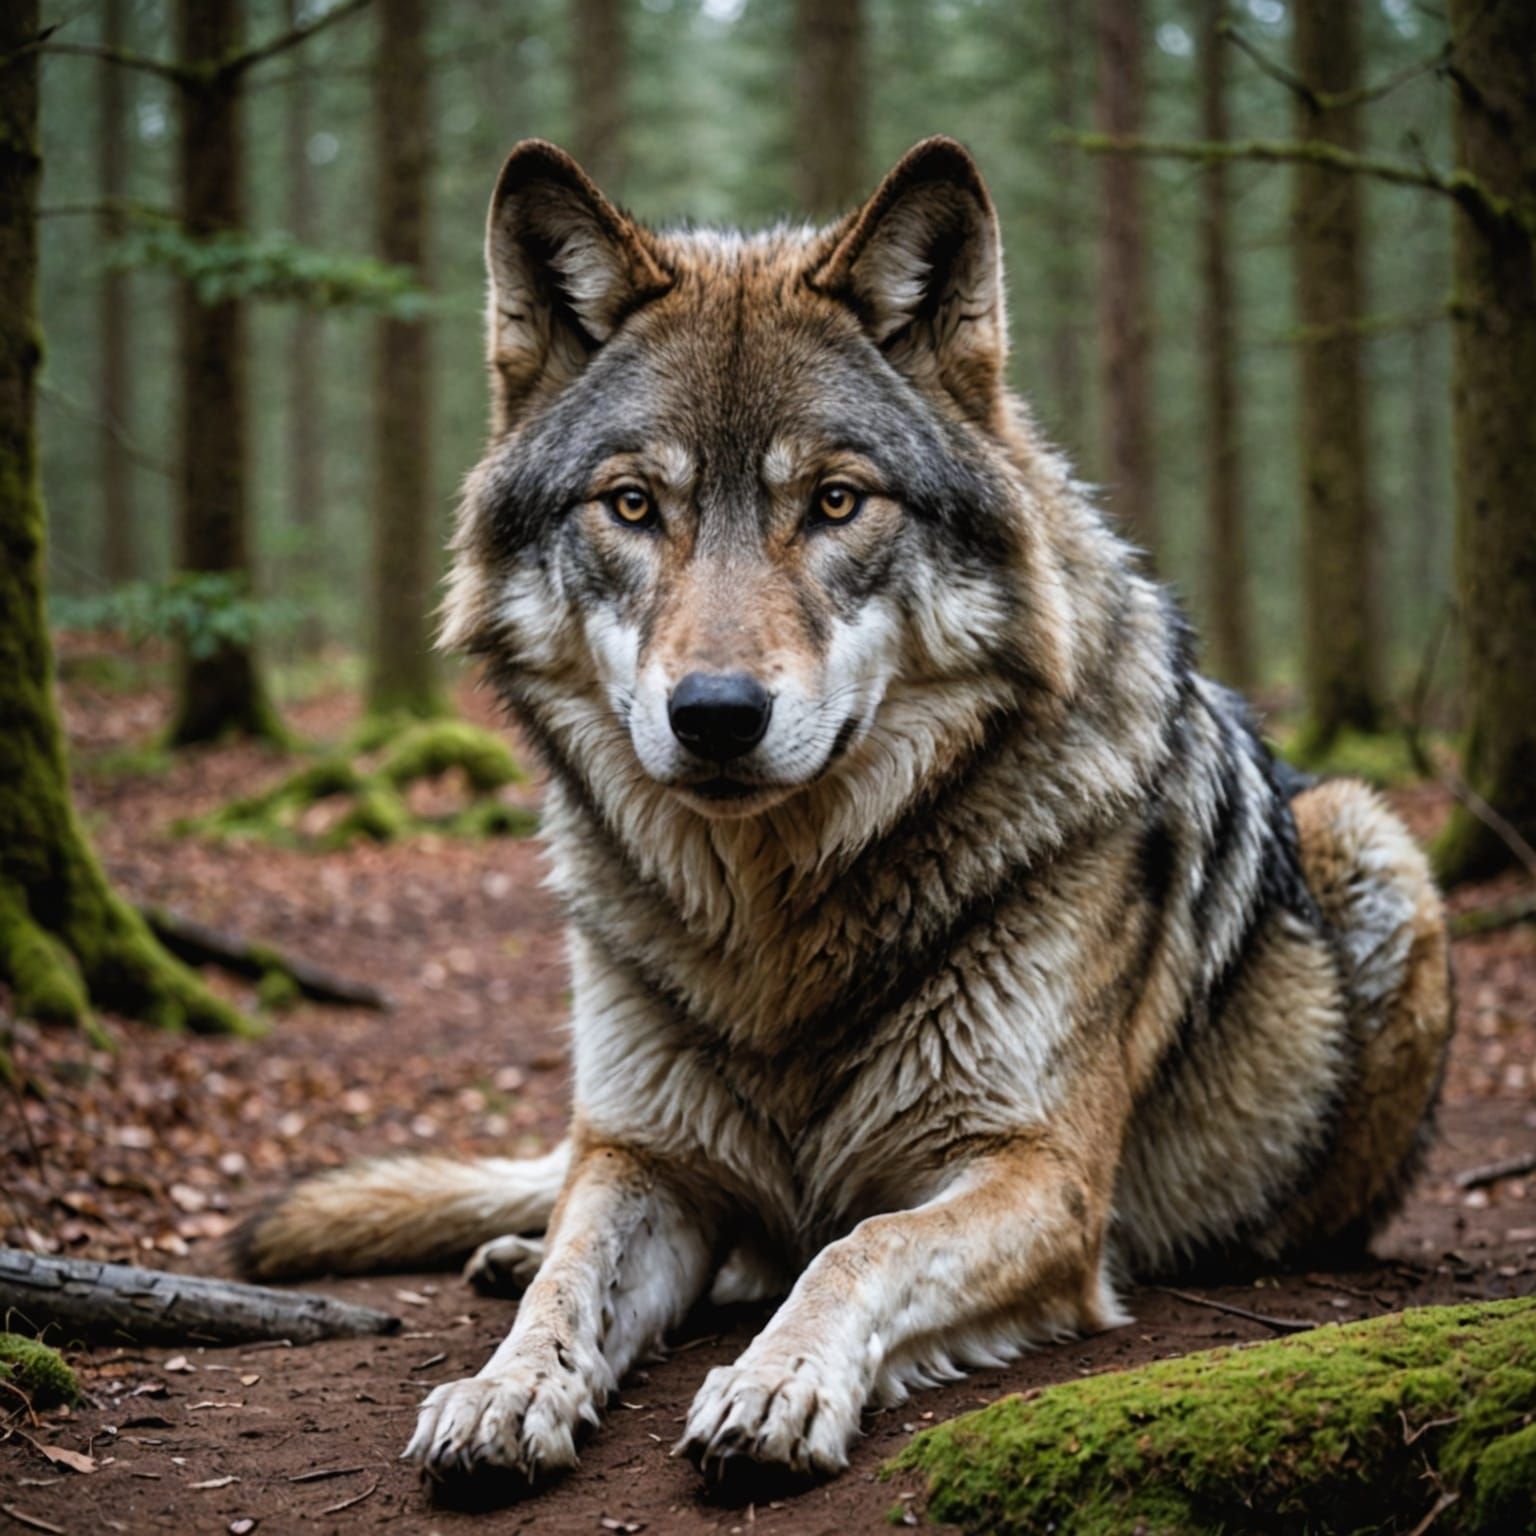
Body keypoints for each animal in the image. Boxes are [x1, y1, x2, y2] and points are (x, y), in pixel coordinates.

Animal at [239, 136, 1452, 1489]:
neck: (776, 925)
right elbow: (573, 1275)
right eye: (632, 506)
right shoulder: (647, 1154)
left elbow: (854, 1245)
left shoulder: (1042, 1178)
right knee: (559, 1190)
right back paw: (514, 1253)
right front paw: (506, 1388)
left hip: (1377, 845)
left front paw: (777, 1383)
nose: (716, 714)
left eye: (833, 501)